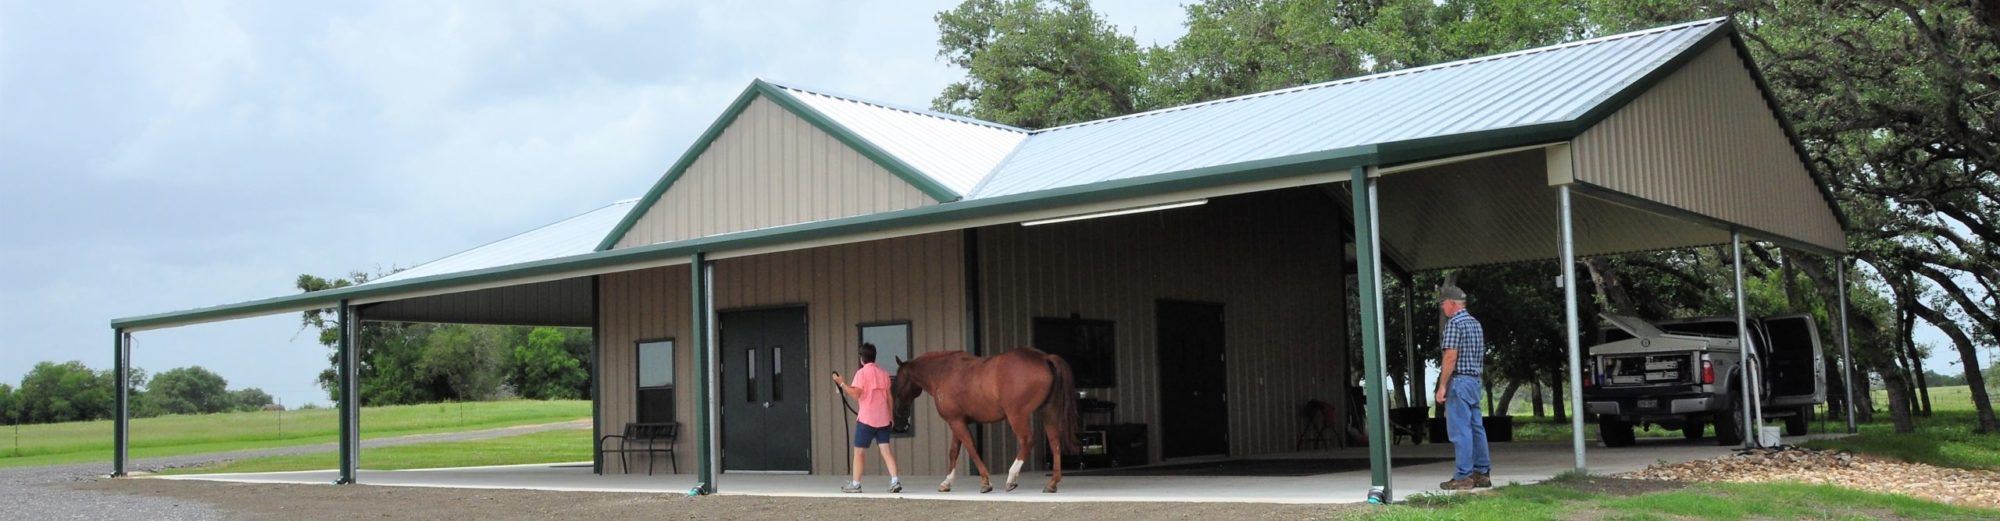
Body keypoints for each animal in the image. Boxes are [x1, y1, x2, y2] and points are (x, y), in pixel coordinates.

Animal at [892, 346, 1080, 492]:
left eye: (897, 385)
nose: (899, 421)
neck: (943, 372)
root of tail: (1044, 357)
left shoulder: (956, 422)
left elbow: (971, 448)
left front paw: (985, 482)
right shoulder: (957, 421)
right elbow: (953, 451)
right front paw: (947, 482)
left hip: (1017, 415)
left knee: (1027, 441)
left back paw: (1011, 478)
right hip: (1048, 412)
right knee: (1055, 443)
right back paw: (1052, 483)